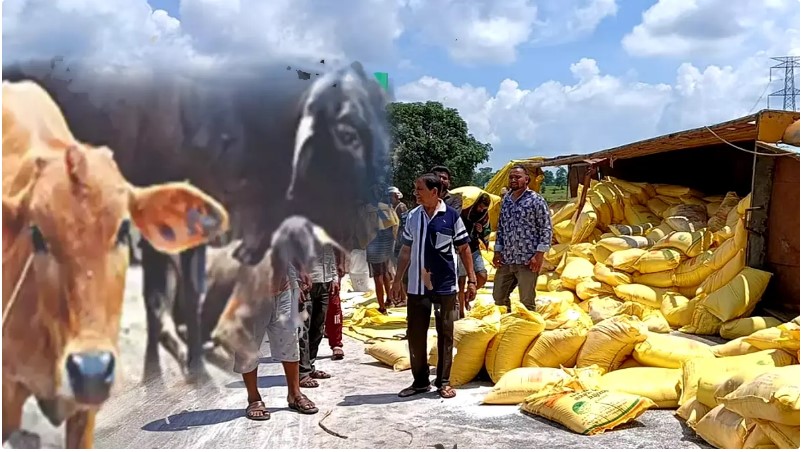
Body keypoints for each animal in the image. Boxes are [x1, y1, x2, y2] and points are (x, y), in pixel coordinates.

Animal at [3, 57, 390, 382]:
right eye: (347, 133)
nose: (370, 222)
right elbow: (157, 299)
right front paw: (156, 374)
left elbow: (192, 295)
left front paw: (196, 366)